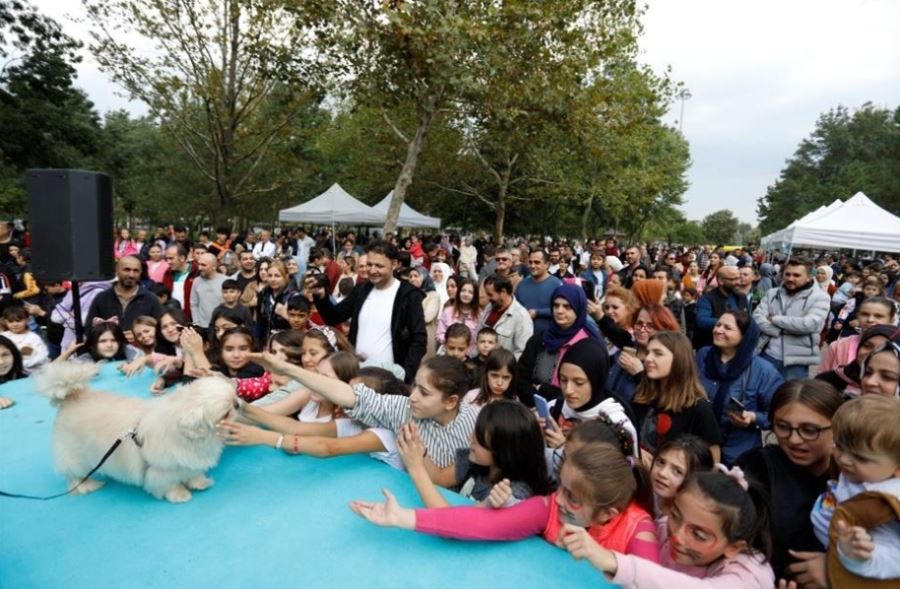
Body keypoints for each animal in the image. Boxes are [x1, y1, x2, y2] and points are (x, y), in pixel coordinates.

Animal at [33, 362, 237, 500]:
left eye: (235, 397)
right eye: (225, 413)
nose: (238, 403)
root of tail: (71, 397)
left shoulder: (190, 463)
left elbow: (194, 474)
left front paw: (200, 484)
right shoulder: (161, 471)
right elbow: (169, 484)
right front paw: (180, 495)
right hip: (73, 456)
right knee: (74, 475)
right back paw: (87, 486)